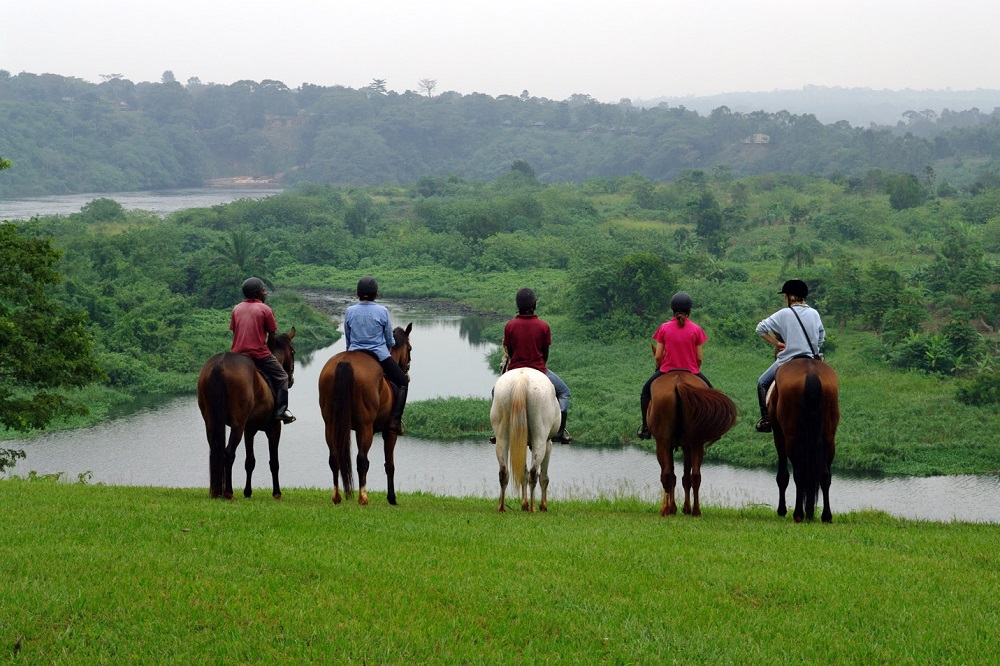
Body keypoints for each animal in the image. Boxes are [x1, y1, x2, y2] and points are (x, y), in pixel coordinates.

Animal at [196, 326, 296, 498]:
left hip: (211, 422)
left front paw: (247, 492)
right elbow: (273, 462)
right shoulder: (274, 428)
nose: (290, 380)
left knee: (216, 451)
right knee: (229, 453)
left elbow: (250, 462)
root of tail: (219, 364)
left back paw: (217, 492)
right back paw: (228, 493)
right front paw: (277, 492)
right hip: (238, 425)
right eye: (293, 352)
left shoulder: (249, 430)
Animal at [320, 322, 414, 504]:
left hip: (331, 424)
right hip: (366, 427)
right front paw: (392, 498)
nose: (406, 373)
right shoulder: (389, 432)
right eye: (410, 349)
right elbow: (389, 465)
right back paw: (363, 497)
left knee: (334, 458)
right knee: (362, 460)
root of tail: (345, 362)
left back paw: (337, 497)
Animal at [490, 366, 564, 510]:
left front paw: (523, 503)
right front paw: (542, 505)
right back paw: (533, 508)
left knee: (503, 472)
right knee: (534, 473)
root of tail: (521, 380)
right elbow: (544, 477)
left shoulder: (521, 443)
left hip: (502, 437)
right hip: (540, 439)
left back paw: (501, 507)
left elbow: (522, 472)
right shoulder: (548, 443)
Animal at [652, 370, 740, 516]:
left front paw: (674, 508)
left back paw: (665, 510)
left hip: (663, 442)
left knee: (666, 475)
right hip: (696, 442)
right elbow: (685, 478)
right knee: (695, 476)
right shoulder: (687, 445)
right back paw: (696, 510)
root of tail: (679, 383)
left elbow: (675, 476)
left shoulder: (670, 444)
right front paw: (684, 508)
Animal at [768, 356, 840, 520]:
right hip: (829, 437)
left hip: (791, 437)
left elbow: (782, 476)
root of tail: (811, 373)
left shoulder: (778, 434)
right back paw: (825, 515)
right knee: (825, 475)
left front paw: (782, 510)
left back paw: (798, 514)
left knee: (799, 473)